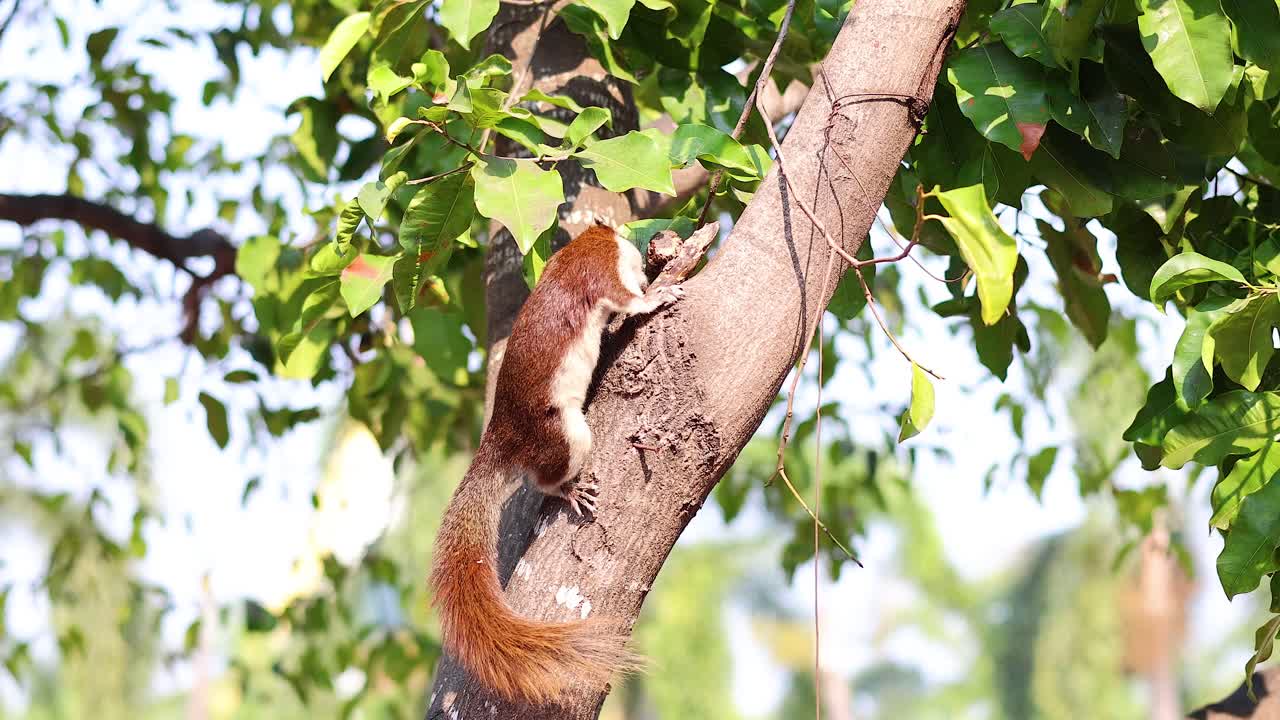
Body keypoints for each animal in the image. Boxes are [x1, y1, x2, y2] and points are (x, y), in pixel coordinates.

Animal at [429, 222, 682, 704]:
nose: (659, 236)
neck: (584, 246)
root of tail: (501, 441)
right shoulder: (601, 275)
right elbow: (629, 300)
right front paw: (659, 293)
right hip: (566, 434)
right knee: (544, 479)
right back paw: (572, 490)